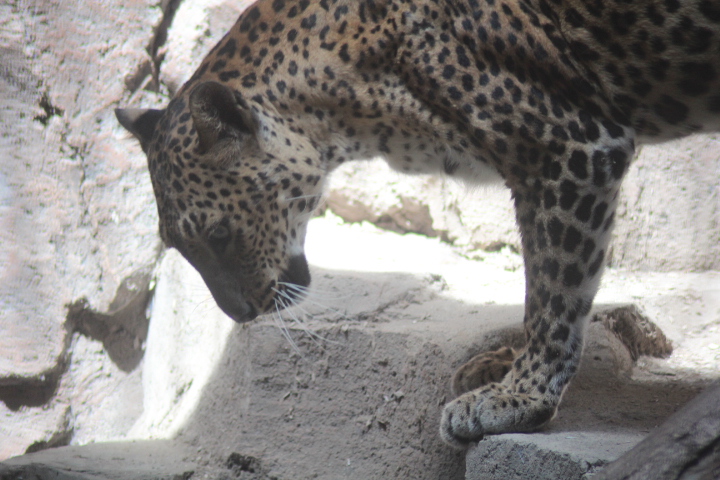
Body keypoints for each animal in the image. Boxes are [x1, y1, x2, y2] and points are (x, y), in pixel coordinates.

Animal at [115, 0, 720, 448]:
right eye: (179, 245)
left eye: (219, 234)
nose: (239, 314)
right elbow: (544, 284)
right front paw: (503, 367)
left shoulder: (572, 149)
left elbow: (556, 288)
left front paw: (517, 397)